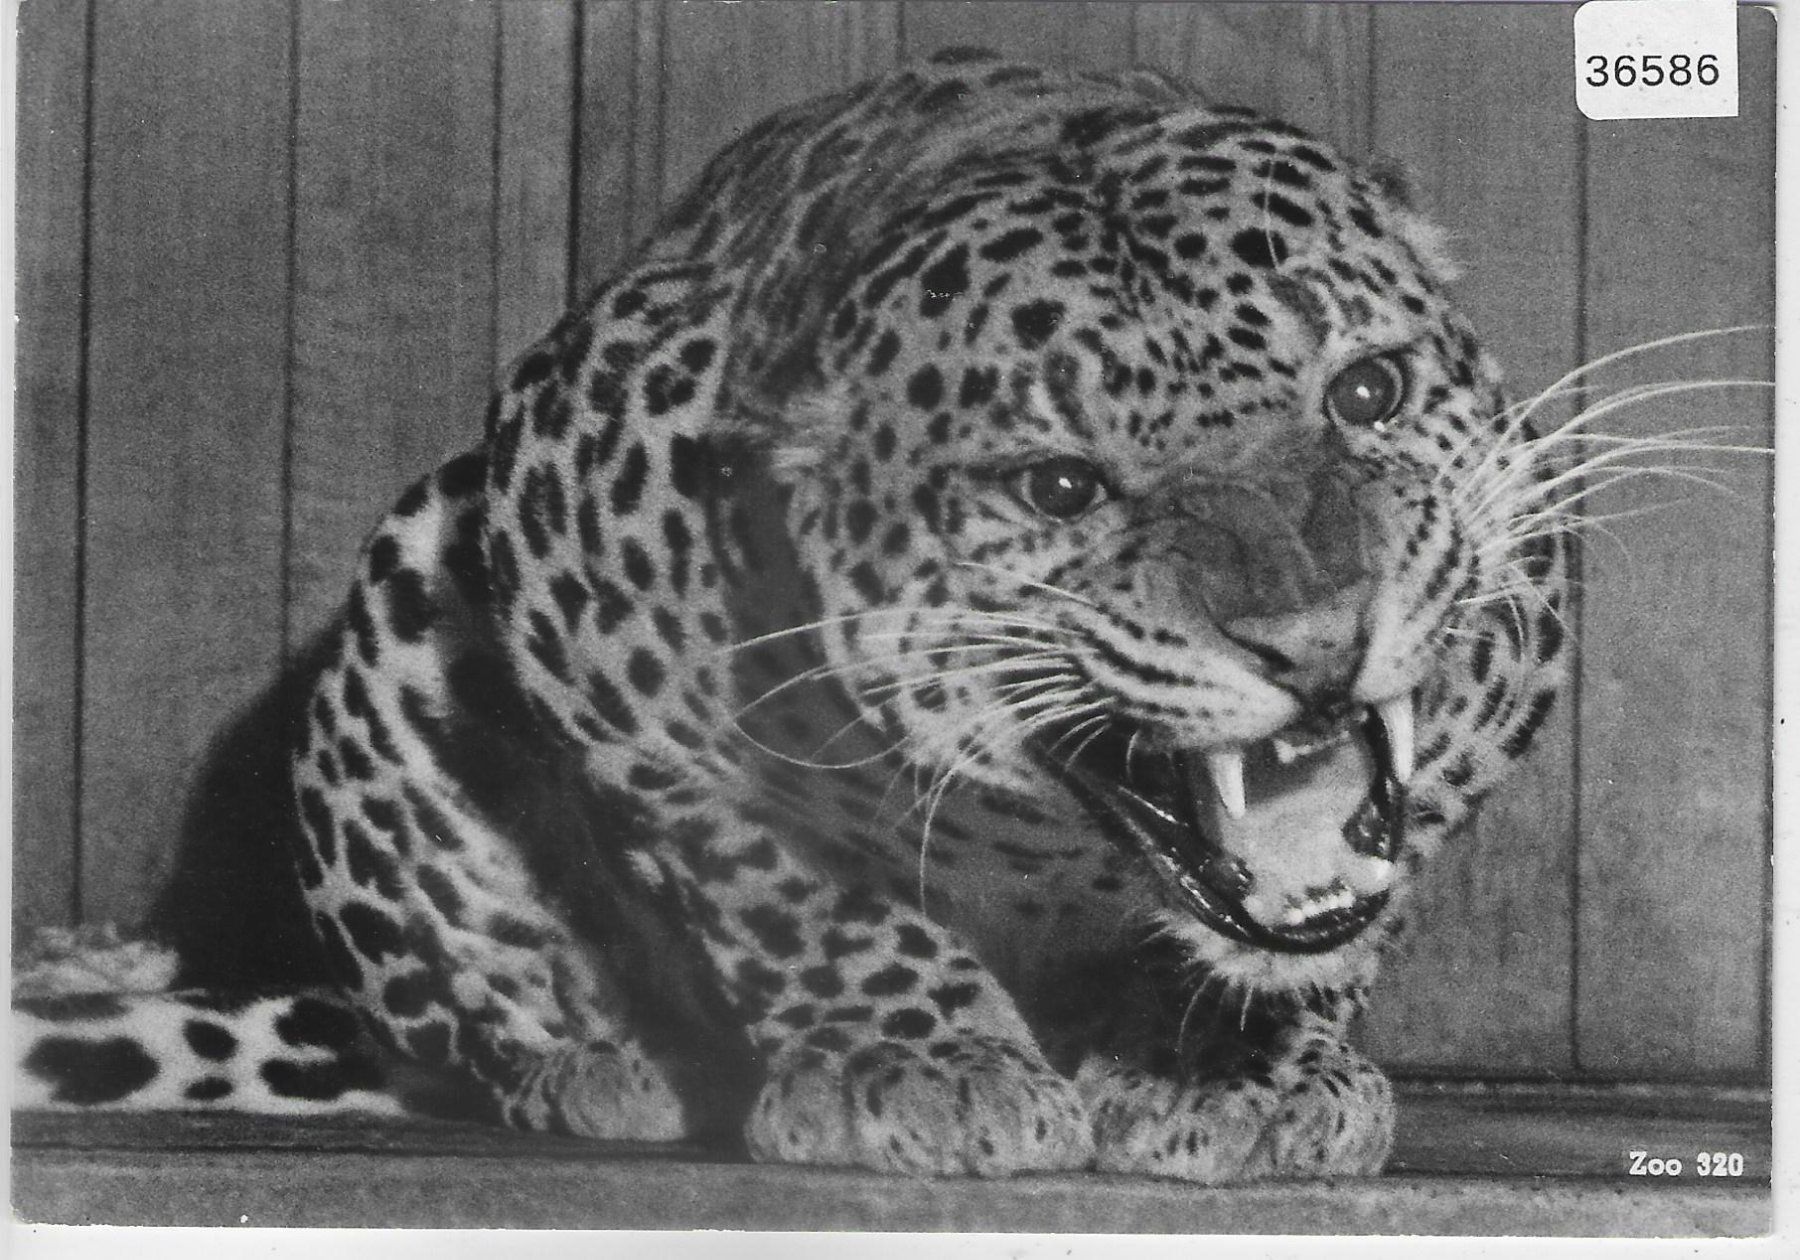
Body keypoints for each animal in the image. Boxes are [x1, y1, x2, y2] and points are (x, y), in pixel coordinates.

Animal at [17, 50, 1573, 1183]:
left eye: (1368, 392)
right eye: (1061, 487)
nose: (1319, 640)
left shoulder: (1510, 655)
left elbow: (1340, 902)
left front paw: (1233, 1062)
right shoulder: (572, 554)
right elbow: (785, 879)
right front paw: (921, 1065)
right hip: (404, 613)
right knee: (451, 1013)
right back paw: (604, 1062)